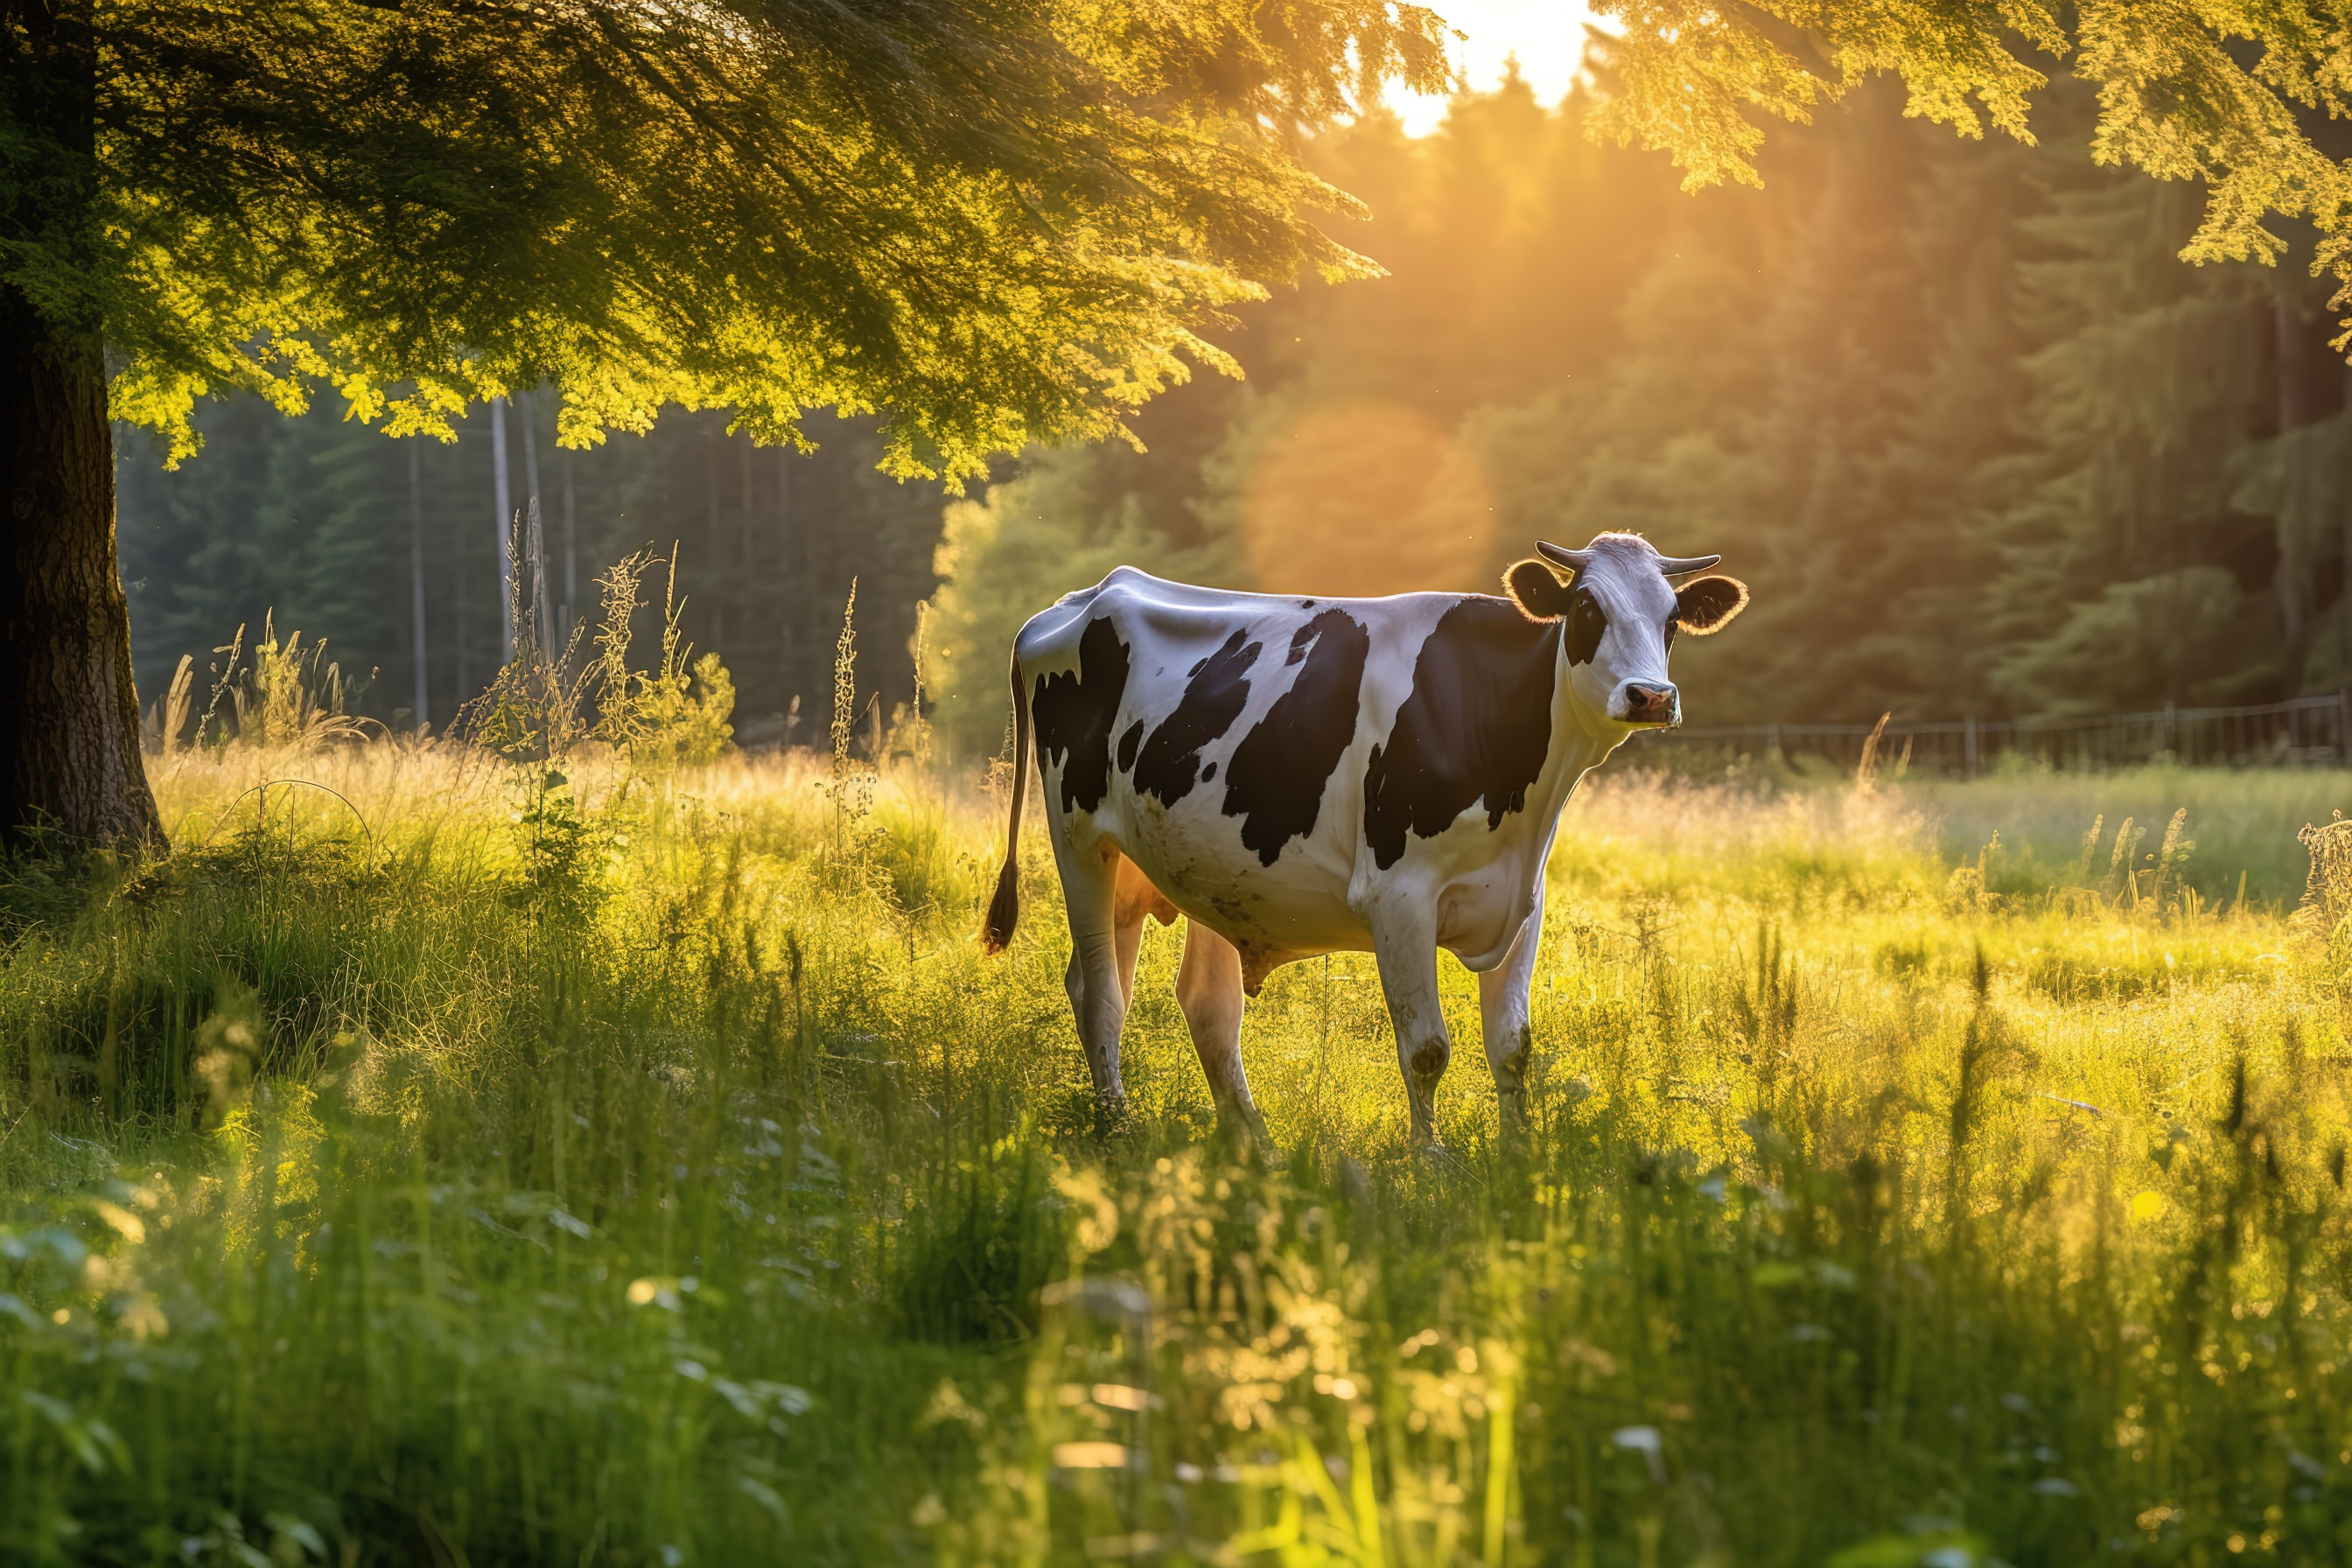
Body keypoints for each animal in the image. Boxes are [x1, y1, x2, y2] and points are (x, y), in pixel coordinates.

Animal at [973, 536, 1749, 1142]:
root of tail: (1075, 601)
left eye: (1673, 618)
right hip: (1079, 839)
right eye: (1588, 609)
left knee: (1202, 1004)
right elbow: (1427, 1050)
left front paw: (1517, 1163)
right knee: (1099, 991)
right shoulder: (1398, 896)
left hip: (1182, 862)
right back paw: (1119, 1128)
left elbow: (1513, 1048)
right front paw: (1432, 1169)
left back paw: (1254, 1144)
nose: (1651, 696)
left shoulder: (1522, 899)